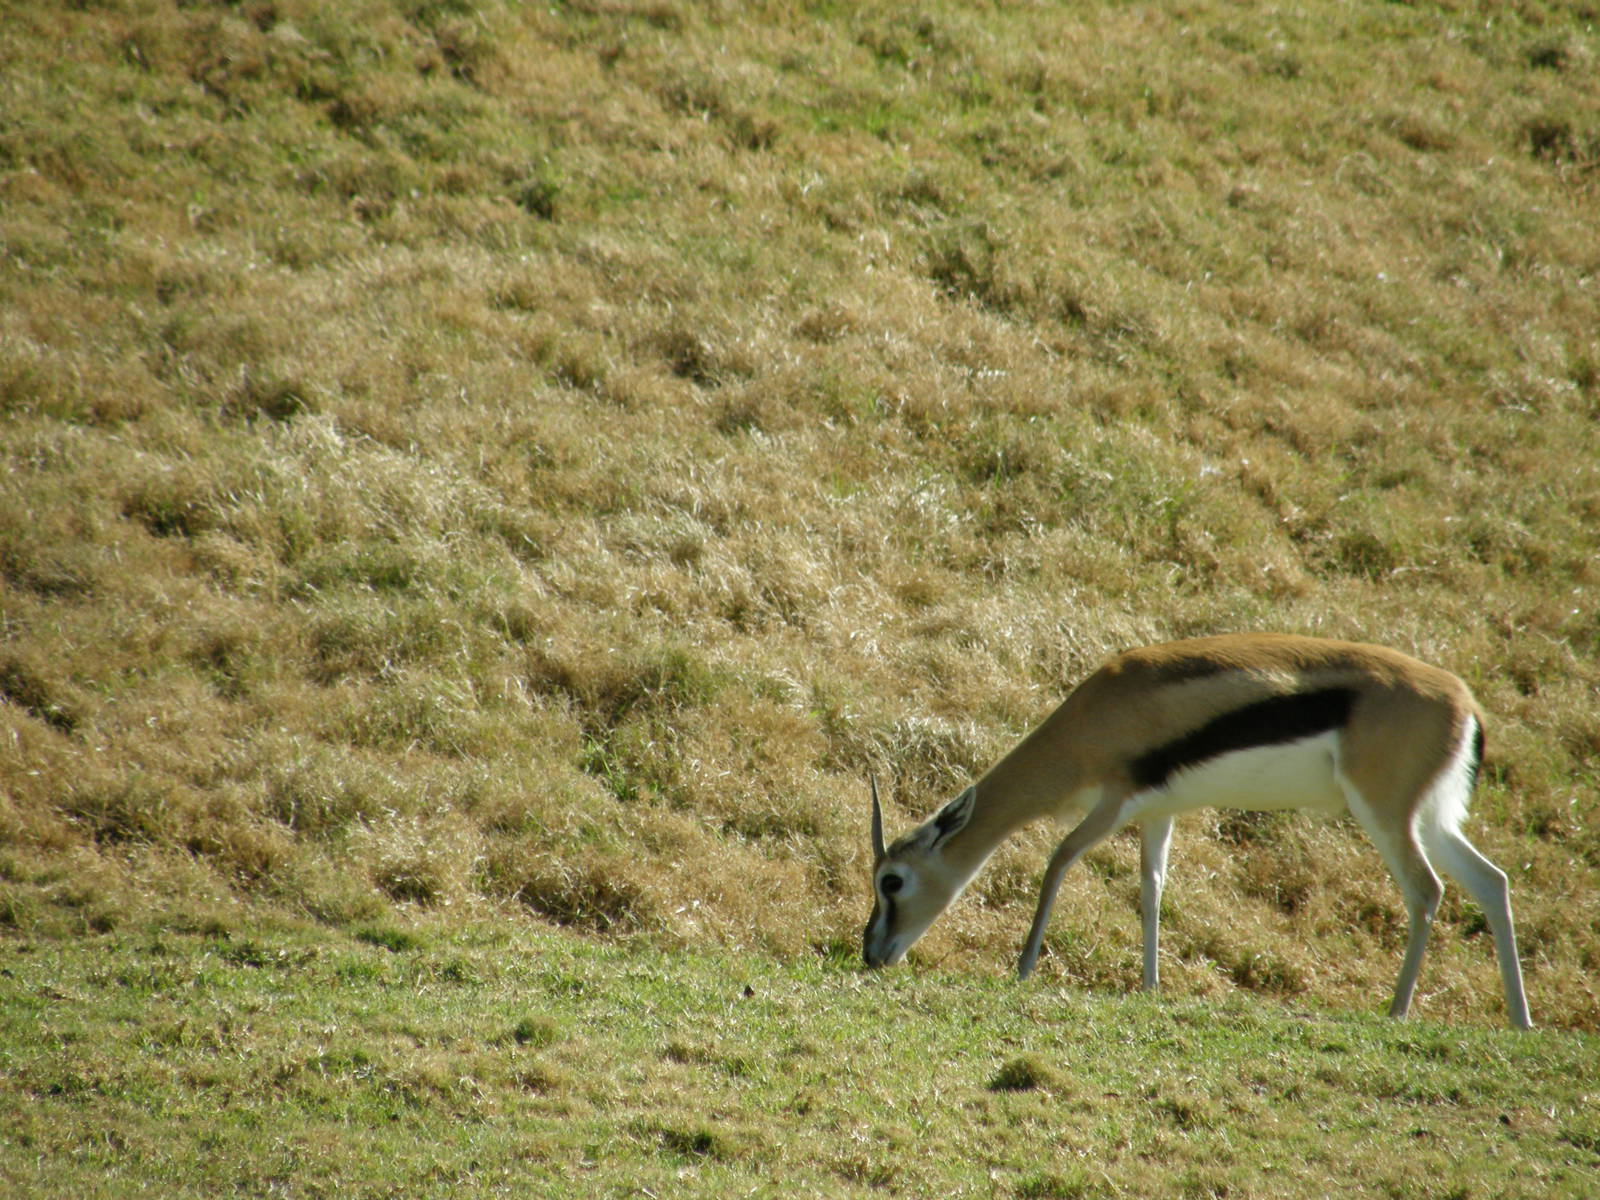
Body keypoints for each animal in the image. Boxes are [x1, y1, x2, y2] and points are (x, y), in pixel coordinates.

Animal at [862, 633, 1533, 1029]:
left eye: (891, 881)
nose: (872, 954)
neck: (1094, 717)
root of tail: (1466, 704)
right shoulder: (1158, 813)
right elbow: (1152, 888)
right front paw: (1150, 985)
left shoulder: (1113, 805)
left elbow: (1058, 860)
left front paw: (1023, 970)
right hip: (1432, 818)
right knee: (1492, 882)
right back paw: (1520, 1021)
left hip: (1385, 813)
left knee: (1427, 891)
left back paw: (1395, 1011)